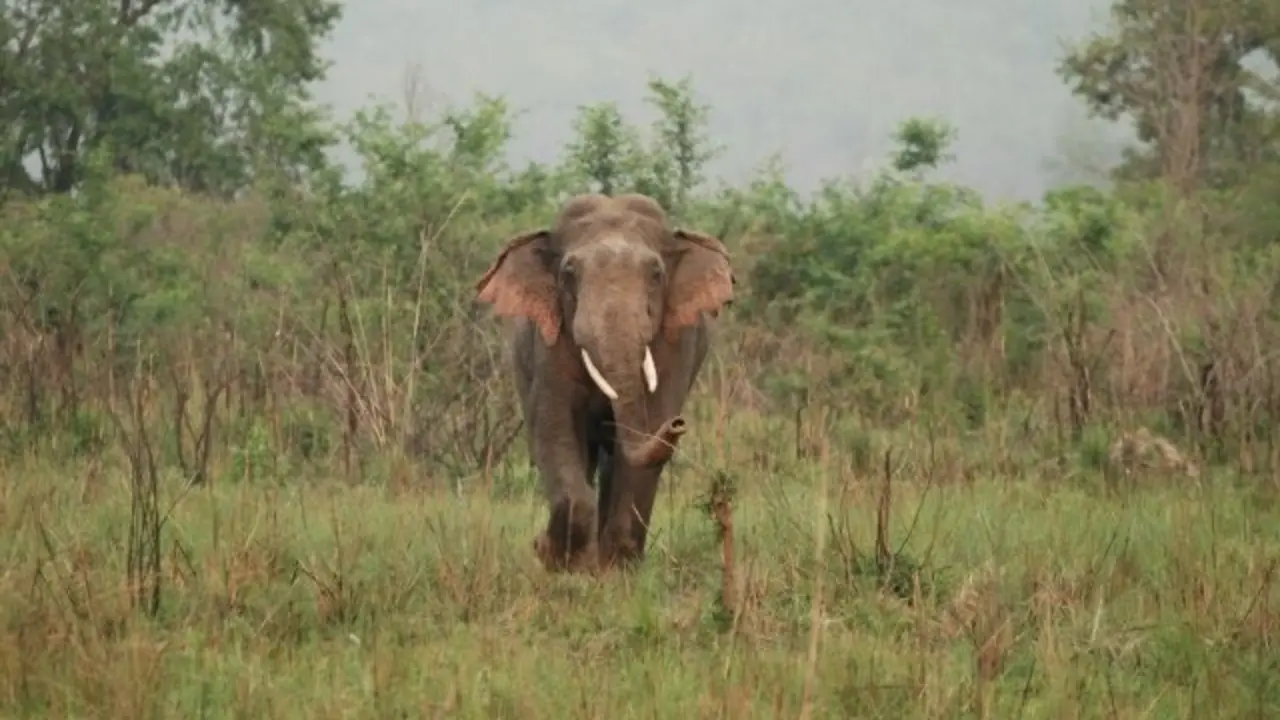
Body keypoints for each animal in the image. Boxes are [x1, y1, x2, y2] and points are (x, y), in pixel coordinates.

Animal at [473, 193, 735, 572]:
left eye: (656, 274)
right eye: (569, 273)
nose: (678, 424)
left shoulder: (677, 343)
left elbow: (646, 428)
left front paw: (617, 571)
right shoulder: (549, 342)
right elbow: (554, 428)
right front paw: (556, 560)